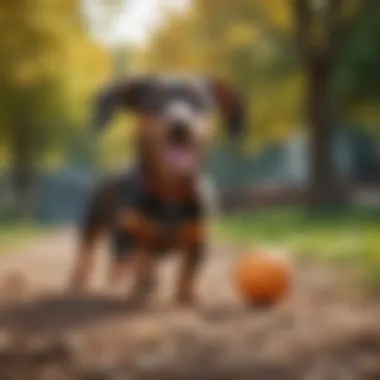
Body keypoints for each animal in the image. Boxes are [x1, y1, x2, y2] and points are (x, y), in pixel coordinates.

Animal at [69, 74, 246, 306]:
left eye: (198, 102)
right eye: (155, 102)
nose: (179, 125)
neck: (171, 192)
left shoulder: (198, 237)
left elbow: (189, 271)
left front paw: (187, 297)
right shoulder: (133, 232)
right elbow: (143, 263)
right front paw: (143, 290)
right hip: (93, 221)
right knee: (87, 253)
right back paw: (81, 282)